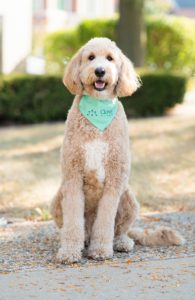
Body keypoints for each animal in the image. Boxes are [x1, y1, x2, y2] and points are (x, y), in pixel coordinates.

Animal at [50, 37, 184, 262]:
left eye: (110, 58)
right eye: (91, 57)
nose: (100, 71)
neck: (97, 110)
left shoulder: (115, 177)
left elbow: (105, 220)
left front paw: (101, 250)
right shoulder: (72, 175)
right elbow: (73, 220)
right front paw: (69, 252)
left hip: (129, 198)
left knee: (119, 230)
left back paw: (121, 242)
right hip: (57, 199)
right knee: (76, 228)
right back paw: (80, 241)